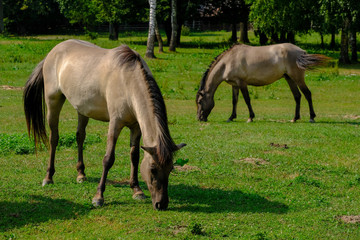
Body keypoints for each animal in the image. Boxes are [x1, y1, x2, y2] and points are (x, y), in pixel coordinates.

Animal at [23, 39, 186, 210]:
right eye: (153, 169)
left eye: (171, 168)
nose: (161, 204)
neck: (127, 81)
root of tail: (53, 52)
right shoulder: (115, 124)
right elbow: (108, 159)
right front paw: (98, 197)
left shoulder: (136, 126)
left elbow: (134, 156)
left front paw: (137, 190)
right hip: (53, 101)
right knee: (54, 139)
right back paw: (48, 177)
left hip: (82, 108)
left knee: (80, 137)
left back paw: (81, 174)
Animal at [195, 42, 330, 123]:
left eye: (200, 102)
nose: (199, 118)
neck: (228, 61)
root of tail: (301, 51)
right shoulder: (235, 85)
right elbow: (235, 101)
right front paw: (231, 117)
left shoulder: (242, 83)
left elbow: (247, 100)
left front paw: (250, 117)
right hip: (289, 78)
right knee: (297, 96)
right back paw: (294, 118)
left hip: (297, 78)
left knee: (307, 94)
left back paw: (312, 117)